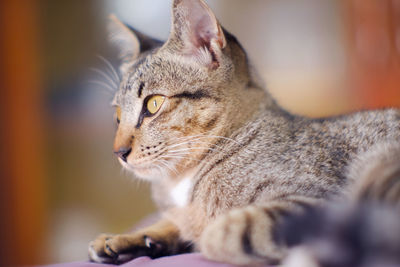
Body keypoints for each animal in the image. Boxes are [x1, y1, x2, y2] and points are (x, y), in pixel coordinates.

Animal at [87, 0, 400, 266]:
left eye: (153, 104)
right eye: (117, 116)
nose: (118, 152)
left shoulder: (315, 201)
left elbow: (221, 233)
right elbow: (173, 223)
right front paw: (126, 238)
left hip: (379, 163)